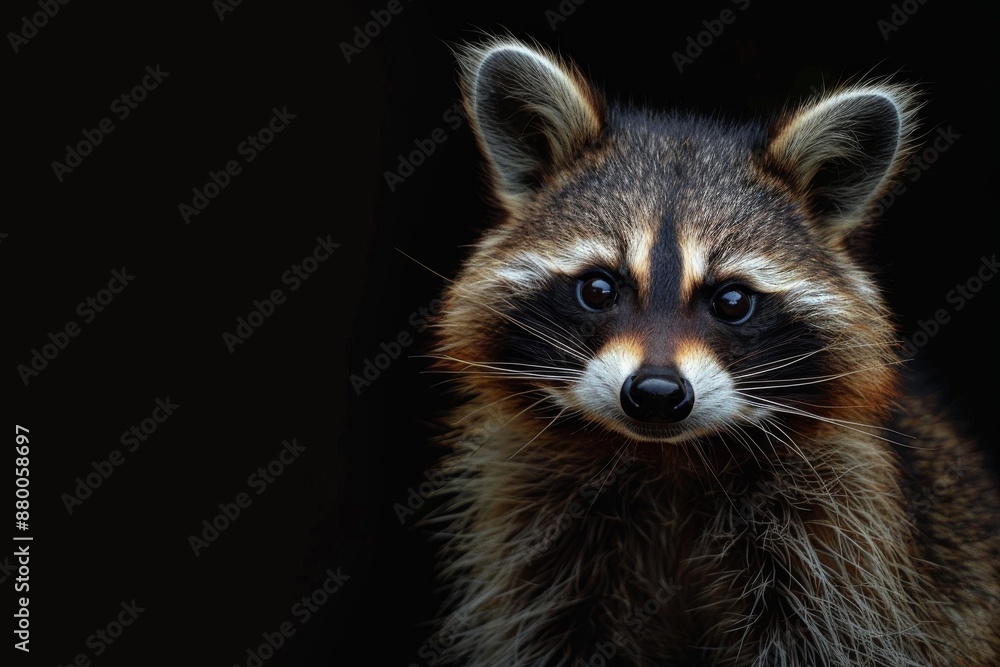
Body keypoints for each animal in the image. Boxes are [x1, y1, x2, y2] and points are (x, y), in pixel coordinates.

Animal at [425, 37, 1000, 666]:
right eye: (598, 289)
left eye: (731, 301)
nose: (655, 394)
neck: (667, 459)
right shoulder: (538, 535)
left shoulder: (842, 545)